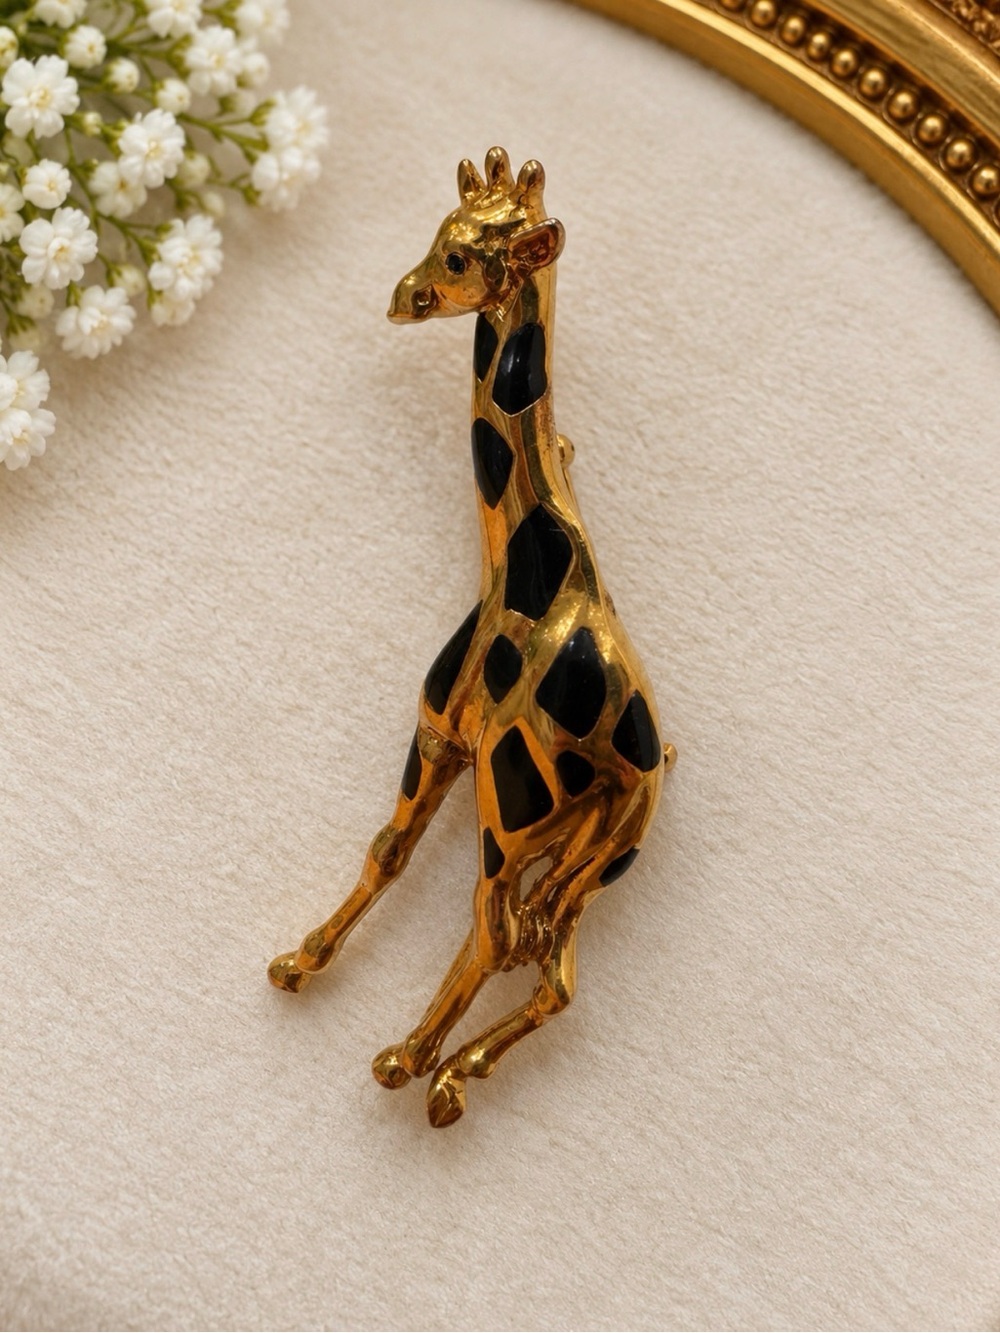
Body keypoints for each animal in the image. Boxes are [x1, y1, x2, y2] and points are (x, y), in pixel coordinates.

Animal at [268, 147, 675, 1127]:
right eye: (439, 232)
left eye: (460, 258)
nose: (402, 296)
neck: (518, 555)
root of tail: (641, 774)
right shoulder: (458, 750)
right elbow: (393, 854)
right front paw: (305, 961)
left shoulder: (444, 734)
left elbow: (388, 850)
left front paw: (300, 961)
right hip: (596, 861)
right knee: (555, 969)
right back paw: (453, 1075)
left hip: (515, 816)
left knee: (496, 932)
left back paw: (408, 1058)